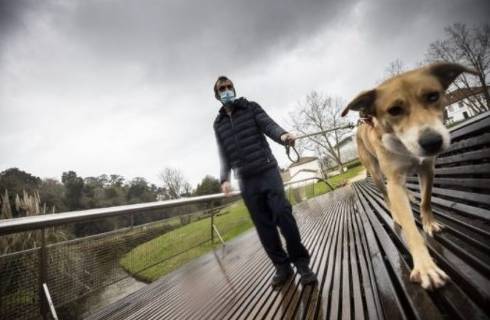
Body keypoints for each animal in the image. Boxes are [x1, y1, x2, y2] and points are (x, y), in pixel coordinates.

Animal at [342, 62, 476, 290]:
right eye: (394, 110)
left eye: (433, 96)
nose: (432, 142)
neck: (404, 147)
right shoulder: (394, 182)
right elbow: (411, 229)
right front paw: (425, 266)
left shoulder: (427, 169)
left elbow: (426, 200)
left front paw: (429, 223)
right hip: (376, 174)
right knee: (386, 195)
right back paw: (396, 213)